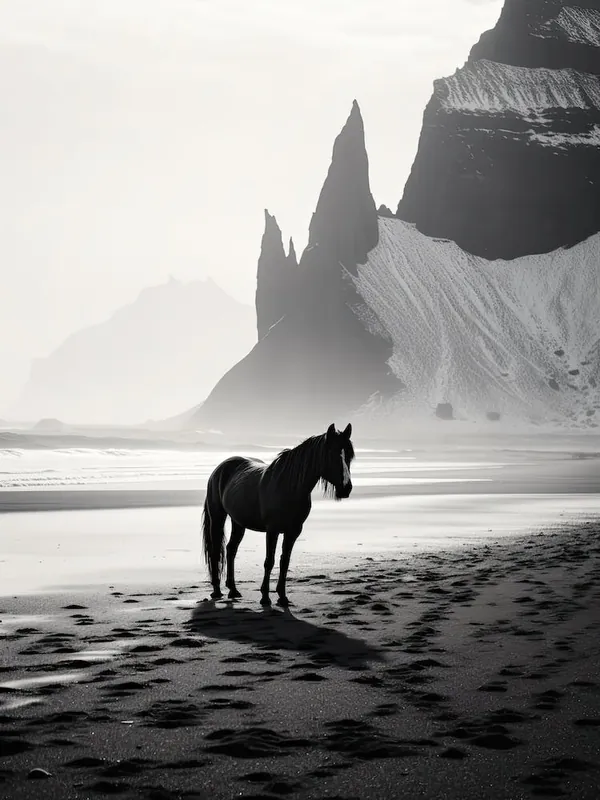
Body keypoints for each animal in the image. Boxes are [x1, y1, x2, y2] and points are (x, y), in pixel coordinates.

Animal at [201, 423, 354, 607]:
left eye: (349, 456)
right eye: (332, 453)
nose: (346, 488)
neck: (288, 487)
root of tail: (219, 469)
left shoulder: (293, 531)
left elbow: (284, 561)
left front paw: (282, 597)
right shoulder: (272, 530)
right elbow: (269, 561)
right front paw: (265, 598)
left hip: (238, 522)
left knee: (231, 549)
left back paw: (233, 589)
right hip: (217, 517)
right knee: (216, 550)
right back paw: (217, 590)